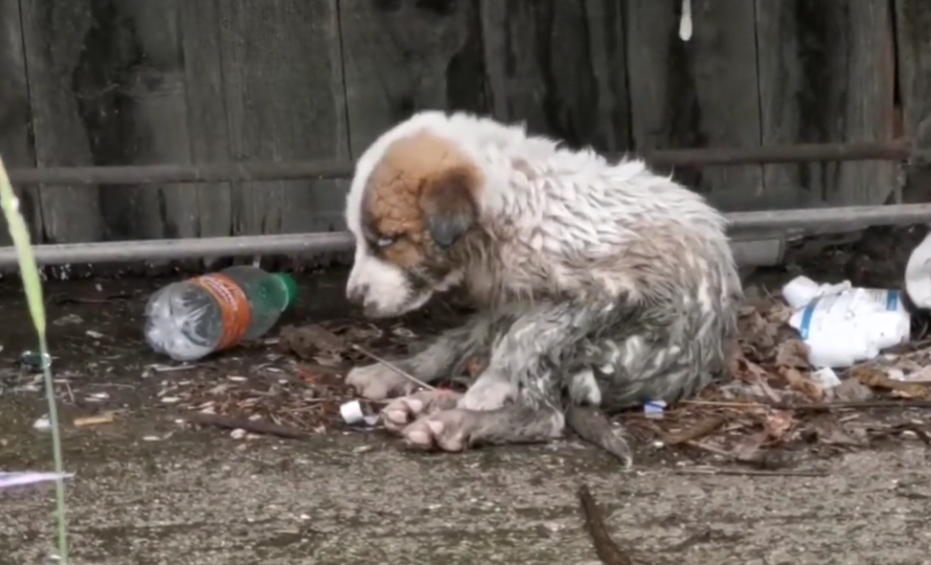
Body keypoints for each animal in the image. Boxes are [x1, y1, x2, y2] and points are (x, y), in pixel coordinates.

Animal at [342, 109, 744, 462]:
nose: (353, 299)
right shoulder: (505, 304)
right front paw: (396, 371)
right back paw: (417, 399)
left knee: (545, 412)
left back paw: (452, 422)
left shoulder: (605, 292)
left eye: (387, 240)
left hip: (602, 349)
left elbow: (527, 337)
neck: (513, 213)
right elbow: (451, 344)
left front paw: (489, 386)